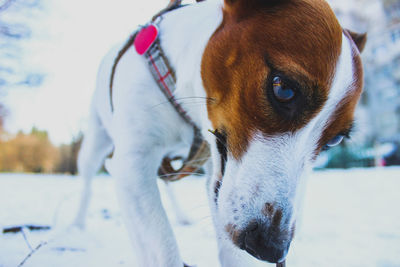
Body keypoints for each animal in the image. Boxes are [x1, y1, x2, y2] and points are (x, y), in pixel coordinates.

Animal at [72, 1, 366, 266]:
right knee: (87, 182)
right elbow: (162, 248)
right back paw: (77, 225)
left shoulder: (215, 174)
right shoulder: (133, 165)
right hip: (95, 144)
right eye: (283, 89)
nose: (271, 249)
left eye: (335, 139)